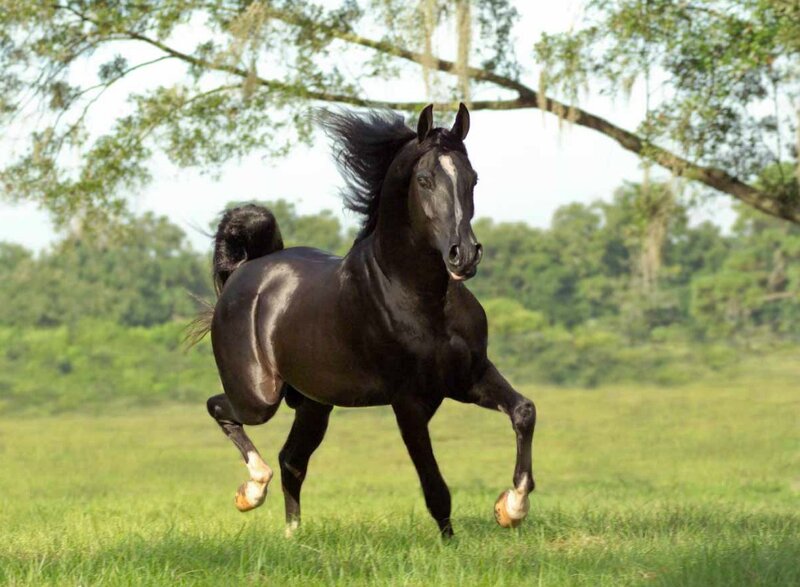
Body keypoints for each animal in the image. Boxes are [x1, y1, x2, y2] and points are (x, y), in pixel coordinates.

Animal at [198, 103, 536, 538]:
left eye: (472, 178)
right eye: (424, 180)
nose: (464, 255)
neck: (419, 297)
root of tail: (246, 271)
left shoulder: (469, 377)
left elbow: (524, 411)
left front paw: (511, 508)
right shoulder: (408, 400)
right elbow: (435, 488)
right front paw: (454, 542)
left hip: (314, 402)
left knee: (292, 460)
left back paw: (292, 537)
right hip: (259, 398)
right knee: (220, 409)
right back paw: (252, 491)